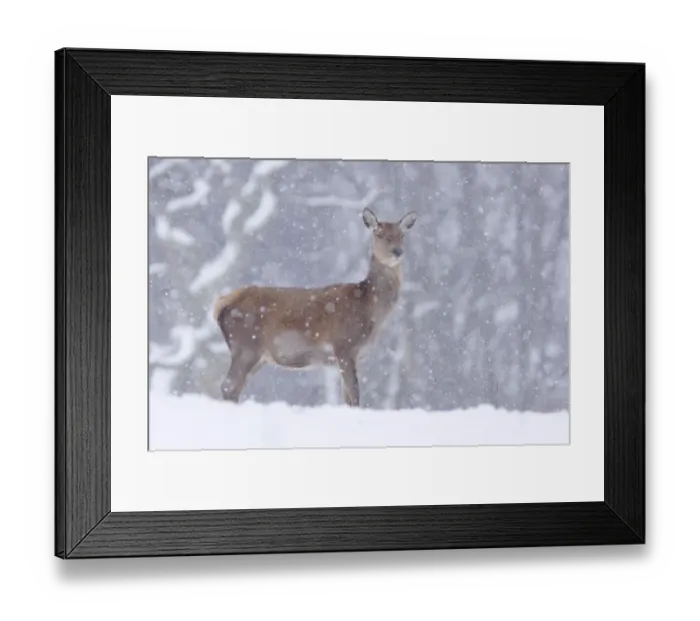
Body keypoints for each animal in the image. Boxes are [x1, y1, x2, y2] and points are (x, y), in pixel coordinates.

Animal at [212, 208, 418, 407]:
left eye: (402, 235)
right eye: (380, 234)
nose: (397, 251)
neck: (370, 309)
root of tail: (221, 305)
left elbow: (348, 398)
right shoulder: (344, 346)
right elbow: (355, 396)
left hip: (258, 355)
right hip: (246, 346)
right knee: (228, 386)